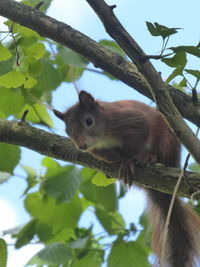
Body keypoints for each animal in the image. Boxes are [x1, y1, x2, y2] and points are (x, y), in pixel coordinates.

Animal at [53, 91, 200, 266]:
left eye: (89, 121)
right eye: (67, 131)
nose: (81, 146)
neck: (104, 136)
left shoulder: (133, 122)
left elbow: (135, 143)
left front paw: (128, 159)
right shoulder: (96, 151)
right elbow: (108, 155)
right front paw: (120, 158)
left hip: (165, 141)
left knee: (160, 154)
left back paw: (149, 157)